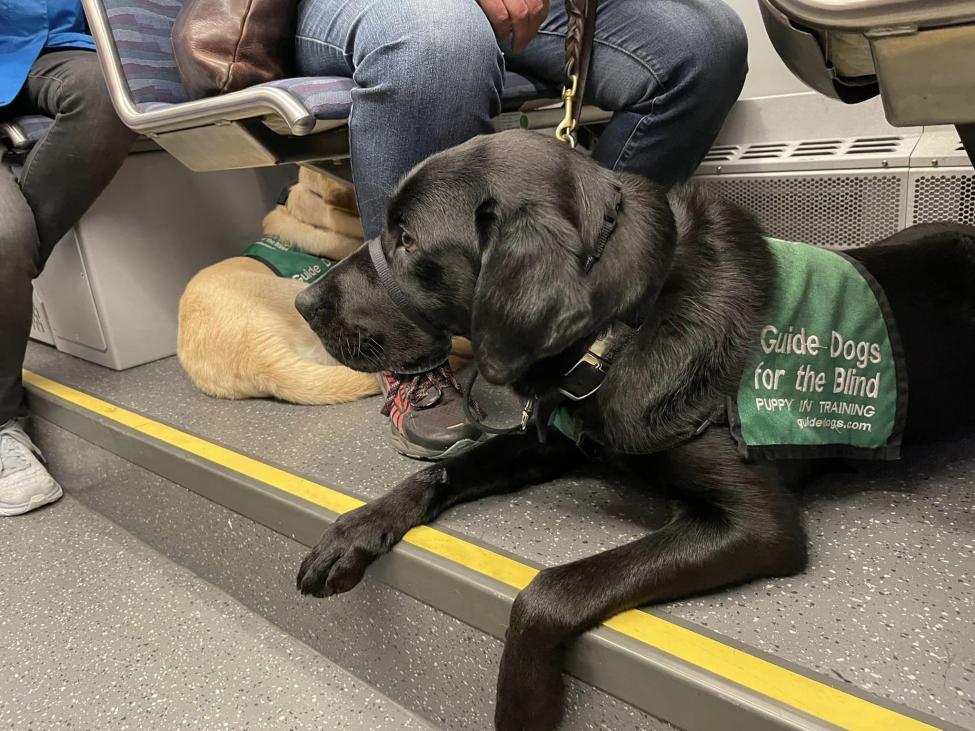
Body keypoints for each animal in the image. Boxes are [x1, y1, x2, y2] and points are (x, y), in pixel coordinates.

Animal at [294, 129, 975, 728]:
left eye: (408, 241)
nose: (303, 303)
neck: (625, 326)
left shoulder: (759, 524)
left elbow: (550, 591)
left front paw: (521, 706)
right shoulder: (550, 440)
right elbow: (444, 467)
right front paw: (358, 526)